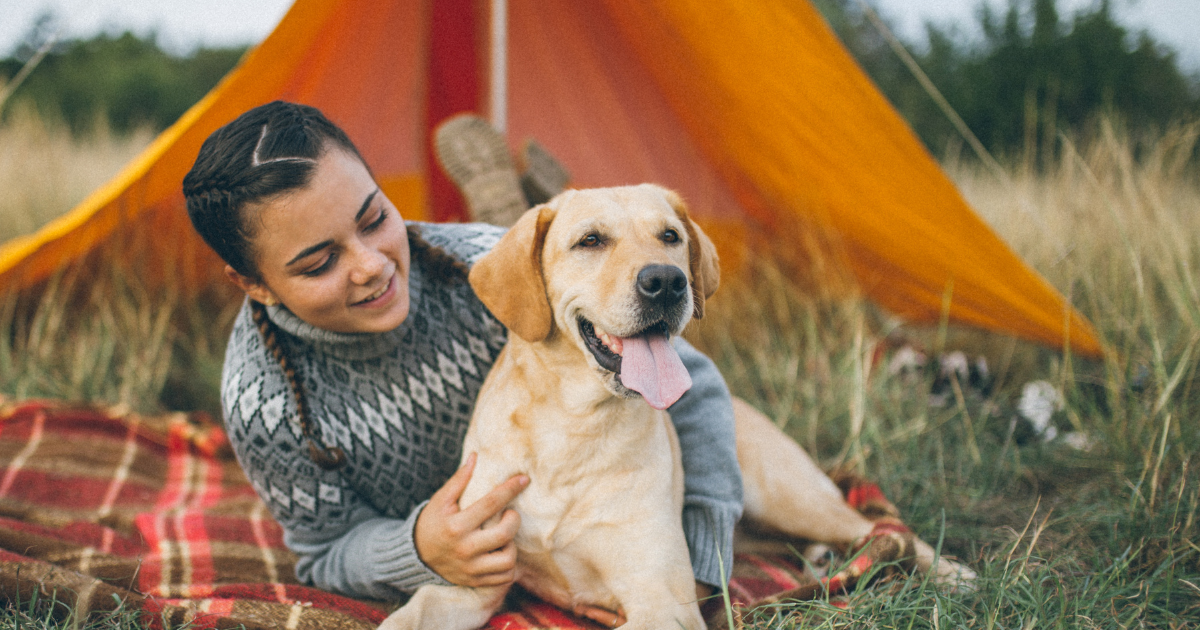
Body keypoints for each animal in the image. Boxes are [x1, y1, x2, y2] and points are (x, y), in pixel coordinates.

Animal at [384, 184, 974, 624]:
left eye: (669, 236)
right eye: (590, 240)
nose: (667, 280)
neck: (569, 427)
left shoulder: (662, 603)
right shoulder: (468, 584)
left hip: (789, 497)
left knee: (882, 530)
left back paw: (950, 572)